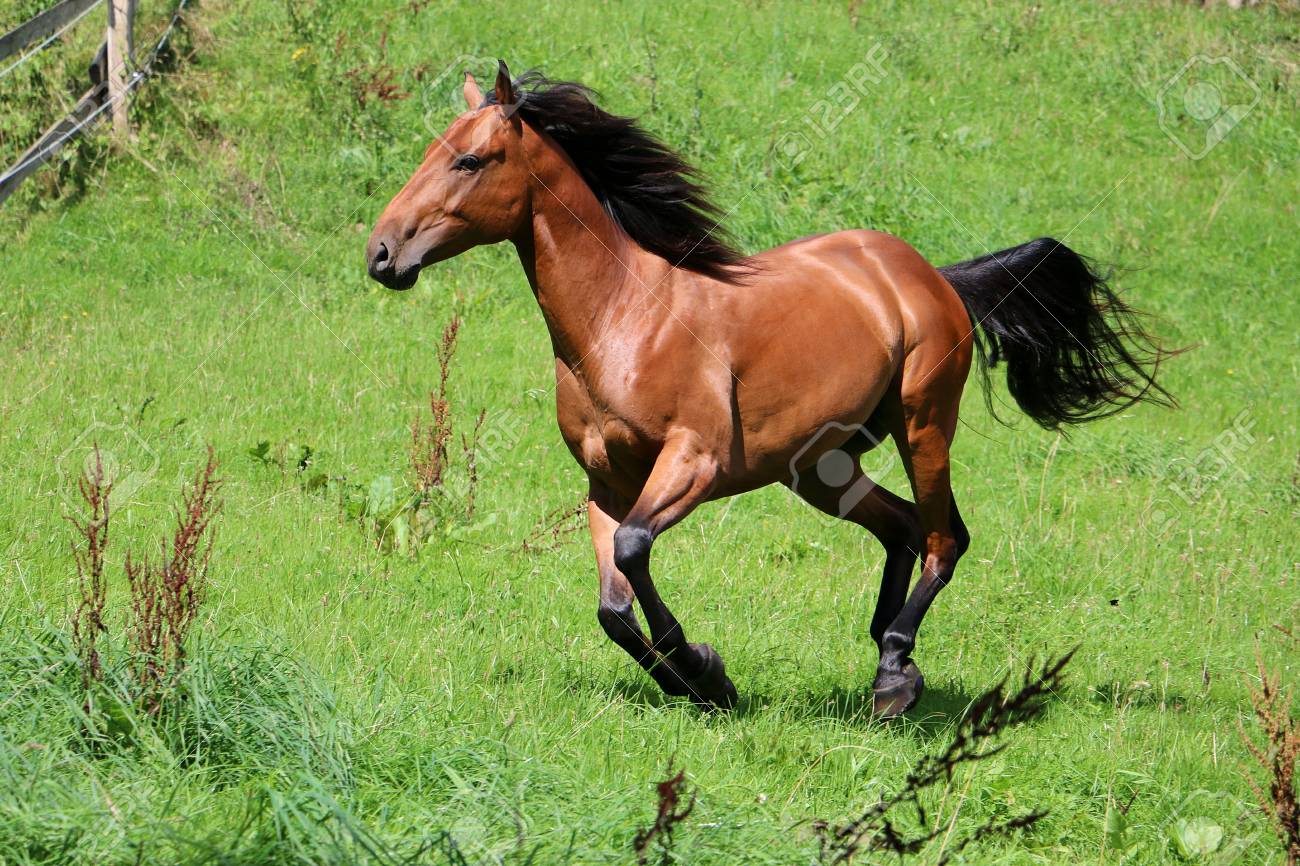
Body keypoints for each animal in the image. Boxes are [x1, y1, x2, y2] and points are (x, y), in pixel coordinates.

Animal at [366, 61, 1173, 717]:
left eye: (470, 160)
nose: (381, 253)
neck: (624, 318)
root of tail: (932, 275)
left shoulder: (694, 463)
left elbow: (632, 549)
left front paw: (701, 669)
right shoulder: (607, 483)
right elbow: (611, 606)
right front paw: (698, 682)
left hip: (921, 424)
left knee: (946, 537)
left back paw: (895, 677)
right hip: (819, 467)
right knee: (903, 527)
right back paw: (888, 656)